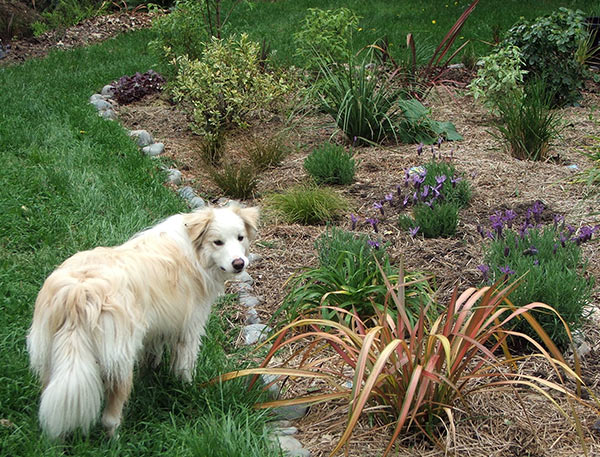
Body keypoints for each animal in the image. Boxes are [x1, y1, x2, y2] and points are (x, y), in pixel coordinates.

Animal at [27, 204, 258, 438]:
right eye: (217, 242)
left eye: (240, 237)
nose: (239, 264)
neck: (194, 250)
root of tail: (79, 292)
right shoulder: (189, 329)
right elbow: (185, 366)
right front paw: (189, 389)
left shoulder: (157, 329)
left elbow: (152, 358)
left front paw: (151, 377)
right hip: (120, 359)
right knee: (110, 415)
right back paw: (115, 438)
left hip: (54, 360)